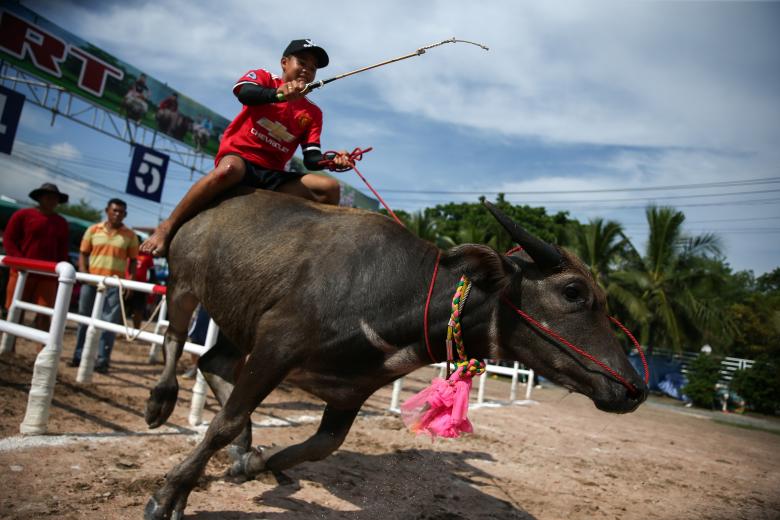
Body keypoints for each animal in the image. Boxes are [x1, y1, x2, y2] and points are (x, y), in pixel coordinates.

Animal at [142, 189, 644, 516]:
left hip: (237, 320)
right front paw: (168, 497)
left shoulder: (349, 393)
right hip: (184, 285)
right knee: (174, 338)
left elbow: (321, 446)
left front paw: (258, 463)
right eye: (574, 291)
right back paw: (161, 401)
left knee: (213, 362)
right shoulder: (275, 347)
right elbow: (224, 423)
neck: (399, 295)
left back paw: (245, 447)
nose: (635, 388)